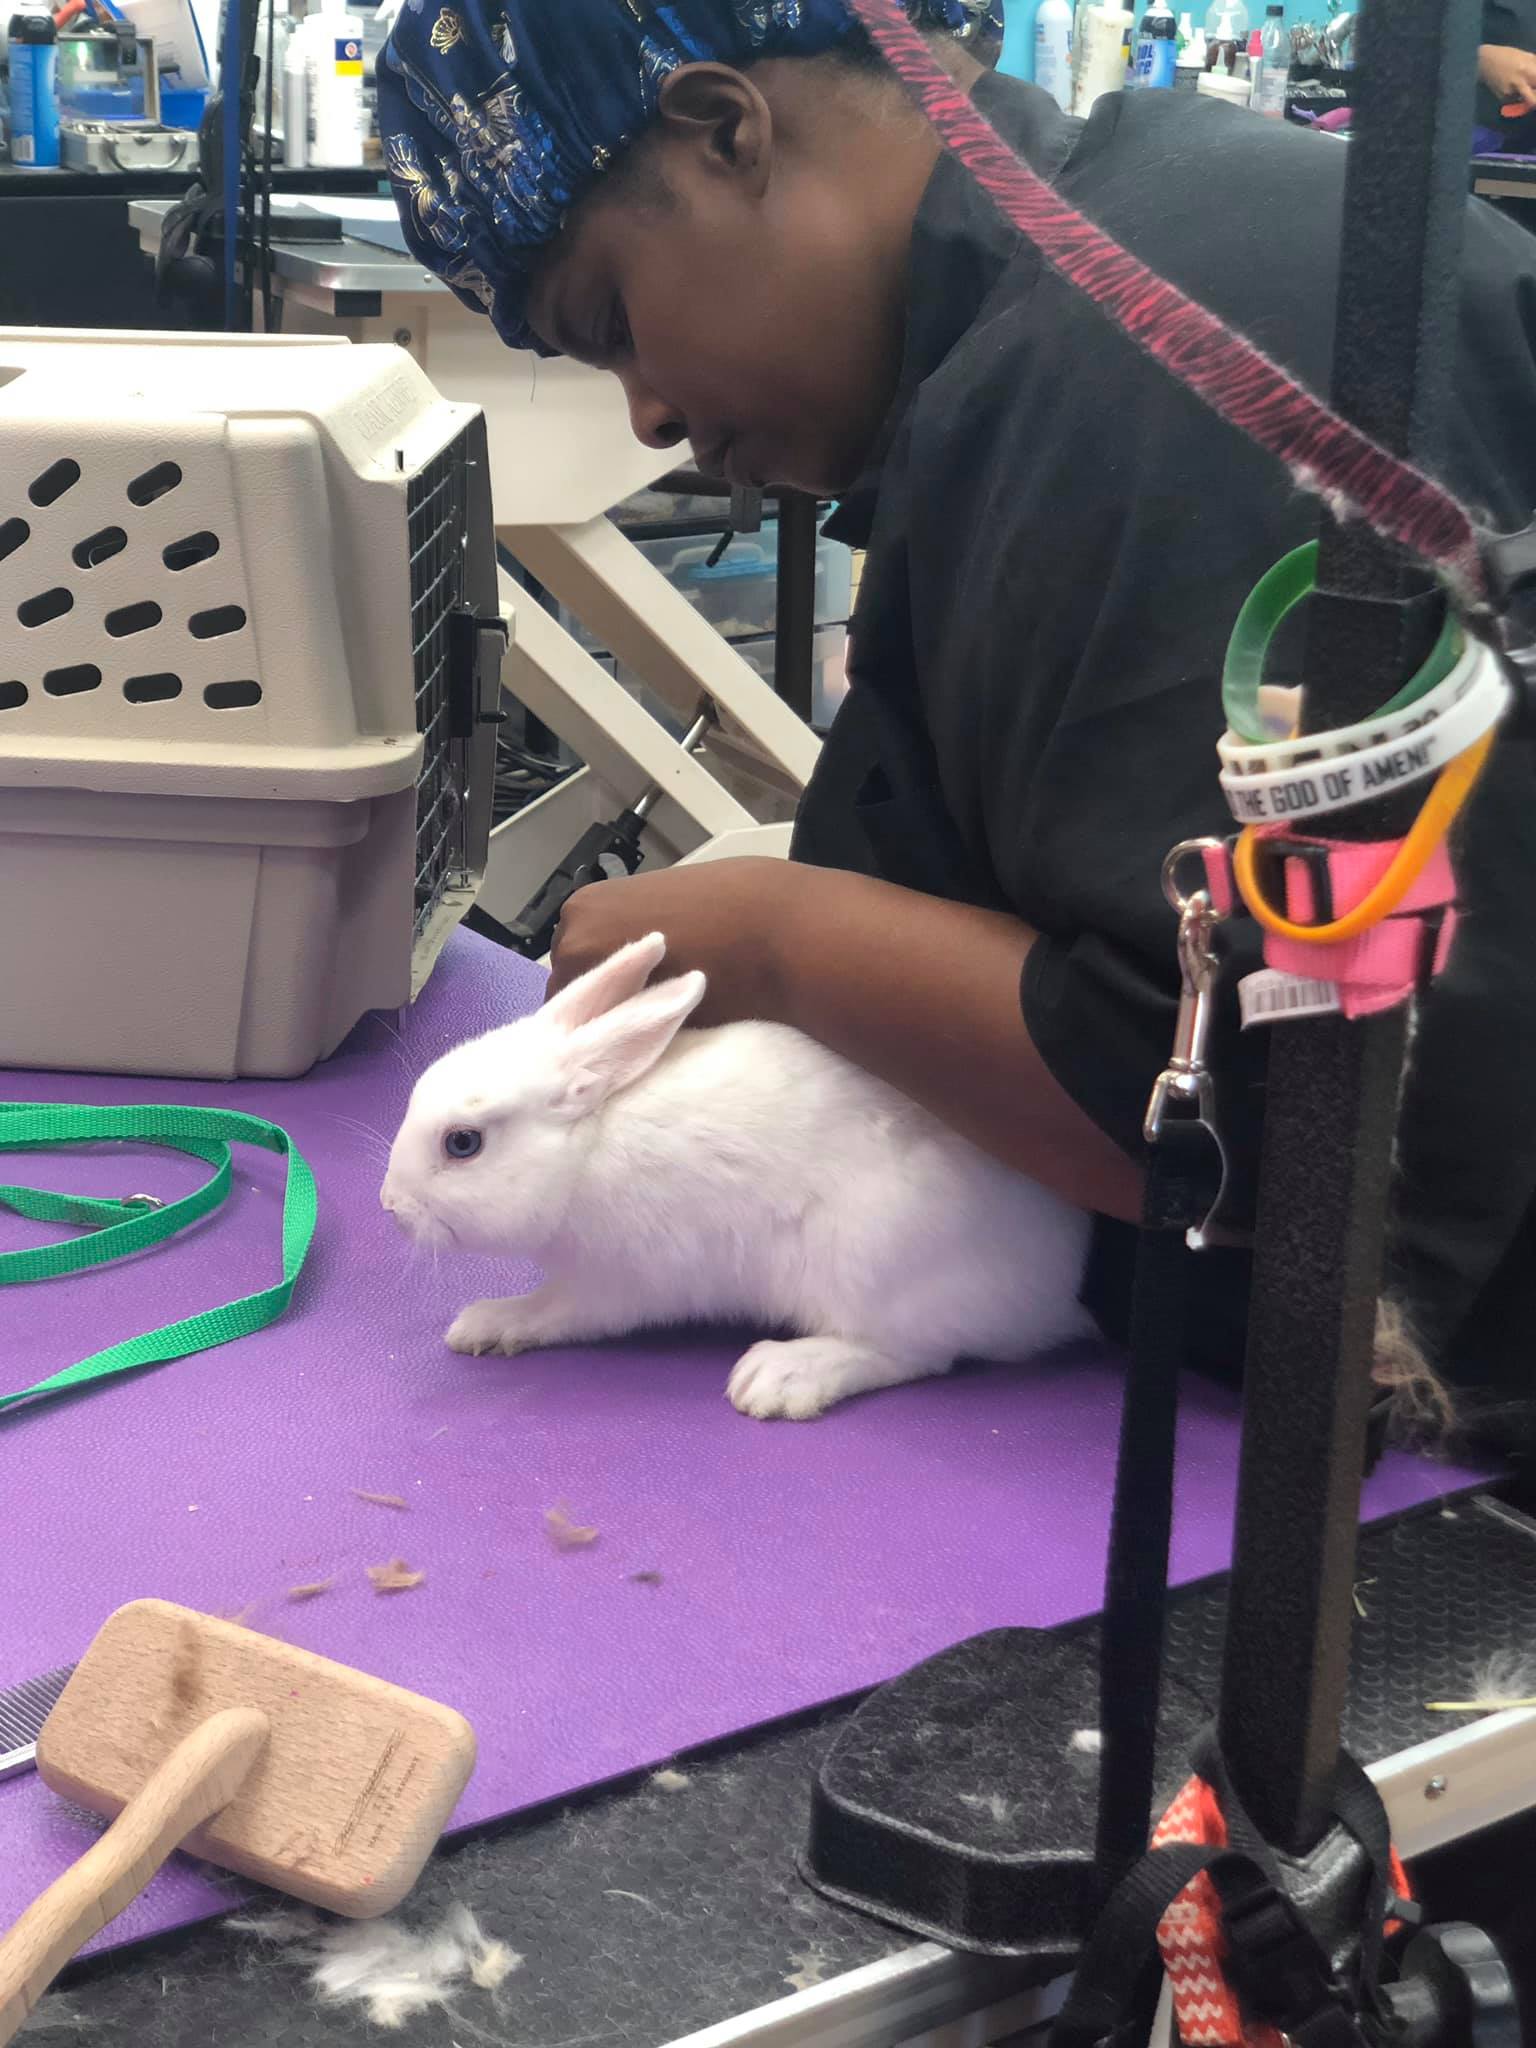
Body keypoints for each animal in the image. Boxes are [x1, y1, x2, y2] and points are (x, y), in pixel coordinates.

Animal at [381, 931, 1094, 1420]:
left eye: (463, 1143)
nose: (390, 1206)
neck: (583, 1152)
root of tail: (1057, 1293)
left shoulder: (616, 1282)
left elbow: (553, 1312)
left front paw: (486, 1322)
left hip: (871, 1266)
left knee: (913, 1352)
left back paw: (779, 1377)